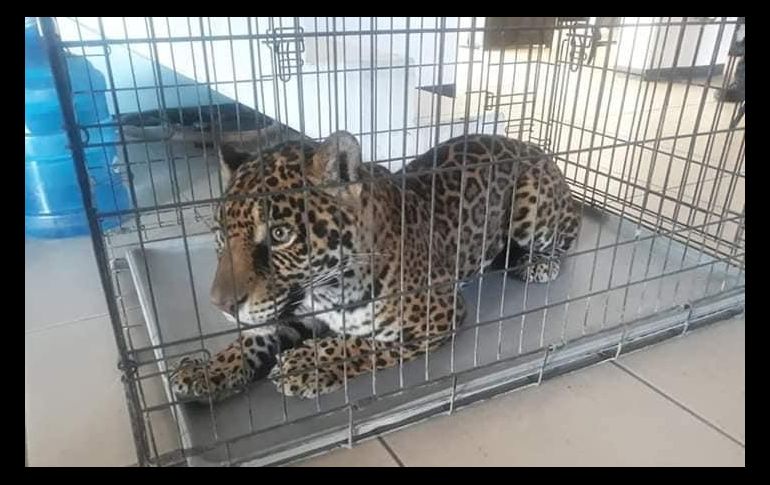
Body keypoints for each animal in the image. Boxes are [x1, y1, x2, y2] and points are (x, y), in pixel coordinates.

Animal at [169, 131, 582, 402]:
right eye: (220, 233)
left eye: (280, 234)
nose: (221, 305)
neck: (327, 289)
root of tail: (535, 146)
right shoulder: (296, 310)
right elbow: (252, 337)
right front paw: (205, 369)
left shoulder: (439, 314)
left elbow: (360, 344)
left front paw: (304, 364)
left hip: (533, 208)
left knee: (568, 233)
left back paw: (537, 264)